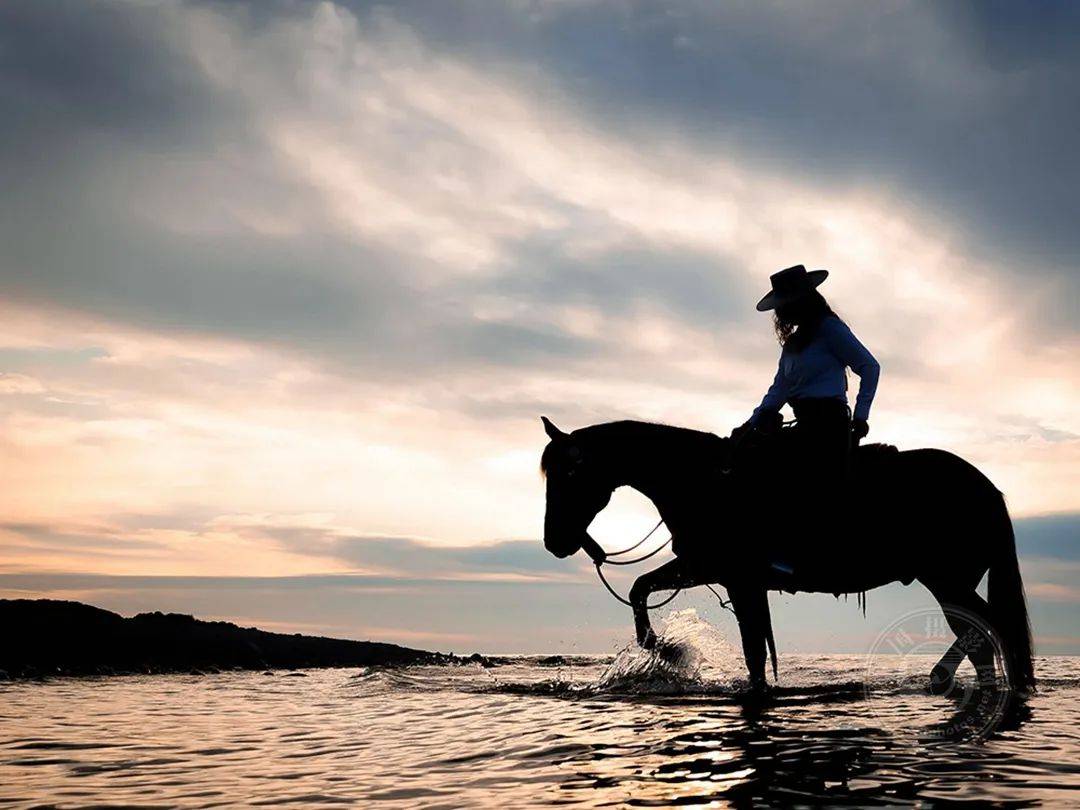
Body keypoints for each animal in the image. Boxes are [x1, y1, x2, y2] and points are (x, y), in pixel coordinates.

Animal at [540, 421, 1036, 695]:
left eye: (569, 471)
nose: (553, 542)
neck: (702, 481)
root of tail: (987, 488)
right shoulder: (712, 570)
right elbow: (641, 587)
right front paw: (660, 646)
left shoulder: (734, 577)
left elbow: (753, 649)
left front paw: (665, 648)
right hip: (953, 580)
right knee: (980, 633)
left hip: (947, 579)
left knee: (987, 630)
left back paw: (948, 679)